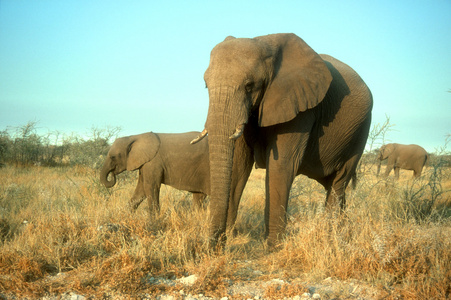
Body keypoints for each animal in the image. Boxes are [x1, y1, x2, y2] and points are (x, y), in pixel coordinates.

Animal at [101, 130, 254, 226]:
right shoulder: (145, 164)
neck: (135, 137)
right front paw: (124, 216)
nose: (112, 175)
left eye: (113, 157)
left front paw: (154, 222)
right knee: (198, 197)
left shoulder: (153, 163)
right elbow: (141, 192)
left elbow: (151, 188)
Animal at [194, 33, 374, 248]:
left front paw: (272, 247)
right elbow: (238, 165)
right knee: (334, 186)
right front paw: (229, 236)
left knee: (339, 181)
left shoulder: (300, 106)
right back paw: (343, 232)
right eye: (205, 84)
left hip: (360, 131)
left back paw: (332, 235)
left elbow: (281, 165)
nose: (216, 244)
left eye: (249, 85)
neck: (264, 42)